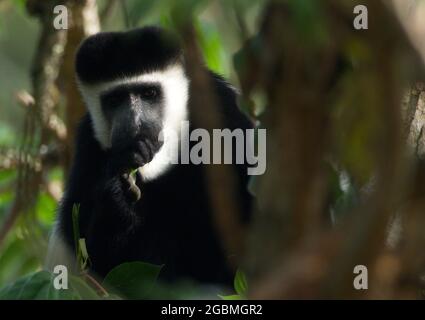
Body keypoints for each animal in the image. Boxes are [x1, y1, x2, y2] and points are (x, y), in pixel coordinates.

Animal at [47, 26, 252, 284]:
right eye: (115, 99)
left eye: (149, 93)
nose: (135, 125)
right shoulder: (88, 146)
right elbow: (93, 253)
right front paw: (117, 194)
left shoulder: (224, 110)